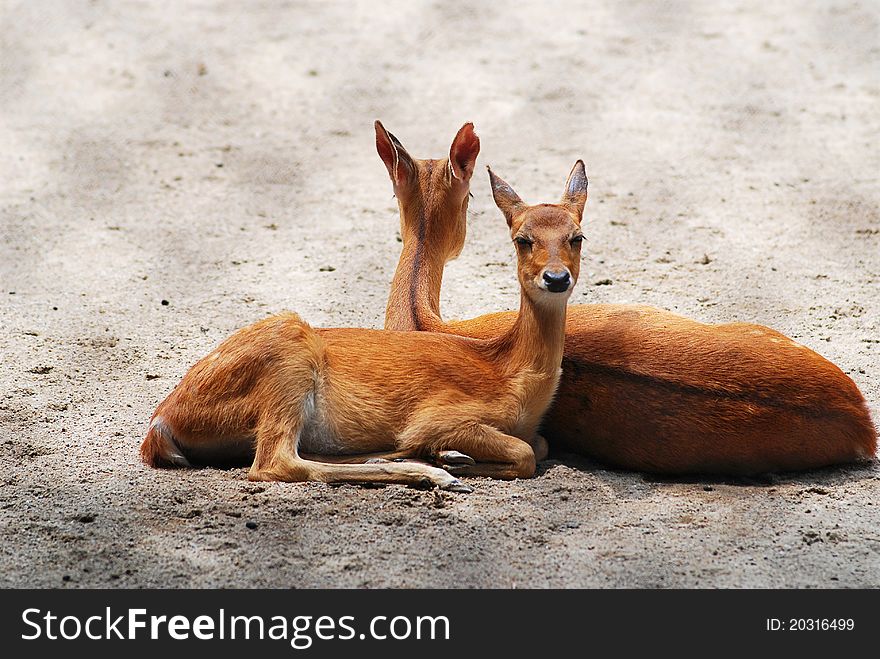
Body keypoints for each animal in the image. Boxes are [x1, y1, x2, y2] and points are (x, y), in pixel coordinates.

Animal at [141, 160, 588, 490]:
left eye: (577, 236)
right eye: (522, 239)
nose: (556, 278)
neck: (511, 375)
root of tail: (161, 423)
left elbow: (540, 444)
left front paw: (451, 456)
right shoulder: (440, 415)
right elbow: (527, 453)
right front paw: (451, 460)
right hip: (288, 361)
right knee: (274, 462)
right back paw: (435, 471)